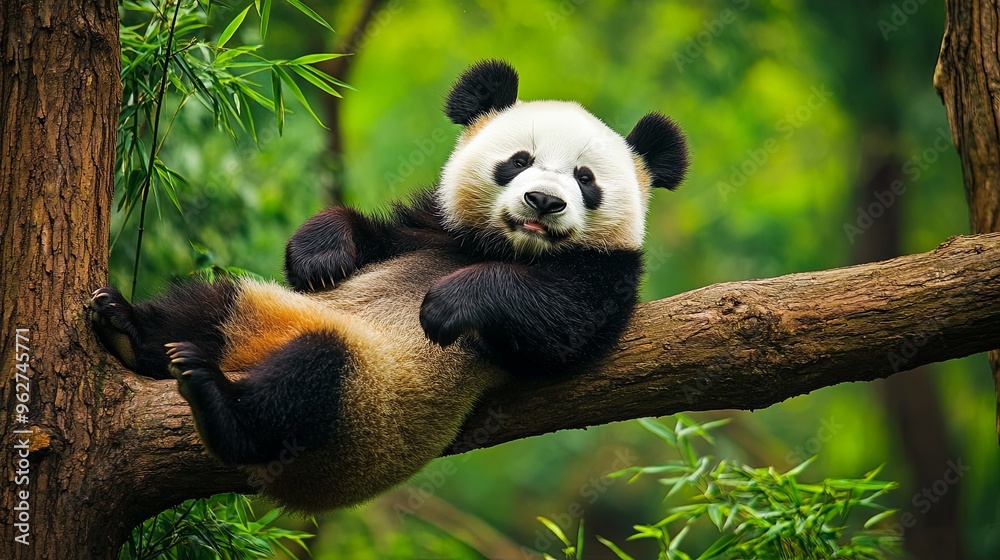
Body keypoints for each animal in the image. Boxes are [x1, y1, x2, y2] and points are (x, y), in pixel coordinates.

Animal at [89, 60, 688, 512]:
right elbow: (367, 236)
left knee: (309, 380)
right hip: (255, 308)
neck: (503, 247)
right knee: (205, 306)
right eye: (519, 161)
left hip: (360, 411)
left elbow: (561, 326)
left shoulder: (609, 276)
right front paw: (320, 256)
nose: (542, 201)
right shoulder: (431, 227)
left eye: (586, 180)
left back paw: (217, 401)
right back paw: (127, 328)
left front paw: (449, 303)